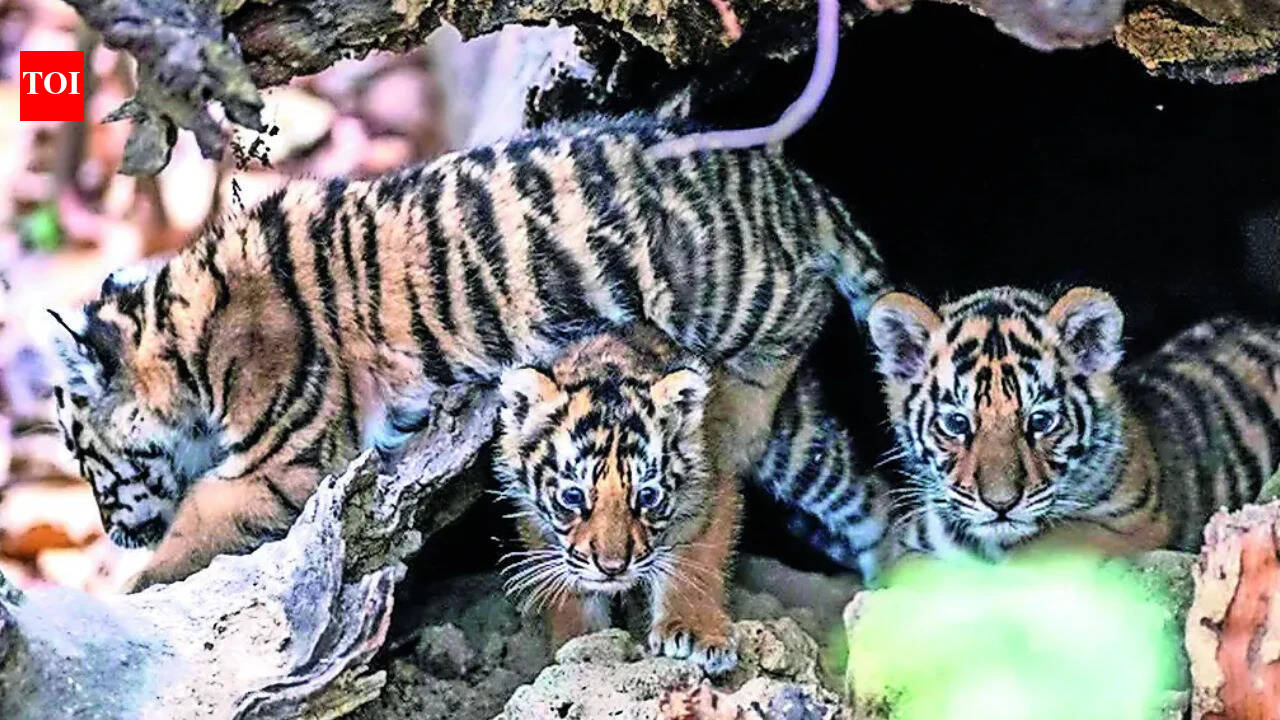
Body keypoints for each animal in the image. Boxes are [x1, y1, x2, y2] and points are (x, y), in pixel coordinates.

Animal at [48, 114, 886, 592]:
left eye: (85, 459)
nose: (113, 533)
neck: (181, 340)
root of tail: (788, 178)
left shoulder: (286, 465)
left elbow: (196, 522)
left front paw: (136, 582)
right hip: (801, 441)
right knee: (863, 495)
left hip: (737, 291)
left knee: (799, 320)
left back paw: (739, 418)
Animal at [493, 325, 890, 674]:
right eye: (572, 496)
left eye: (647, 496)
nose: (612, 567)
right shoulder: (535, 523)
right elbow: (570, 592)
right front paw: (581, 645)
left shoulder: (710, 491)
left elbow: (693, 565)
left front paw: (695, 633)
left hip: (802, 455)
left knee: (872, 504)